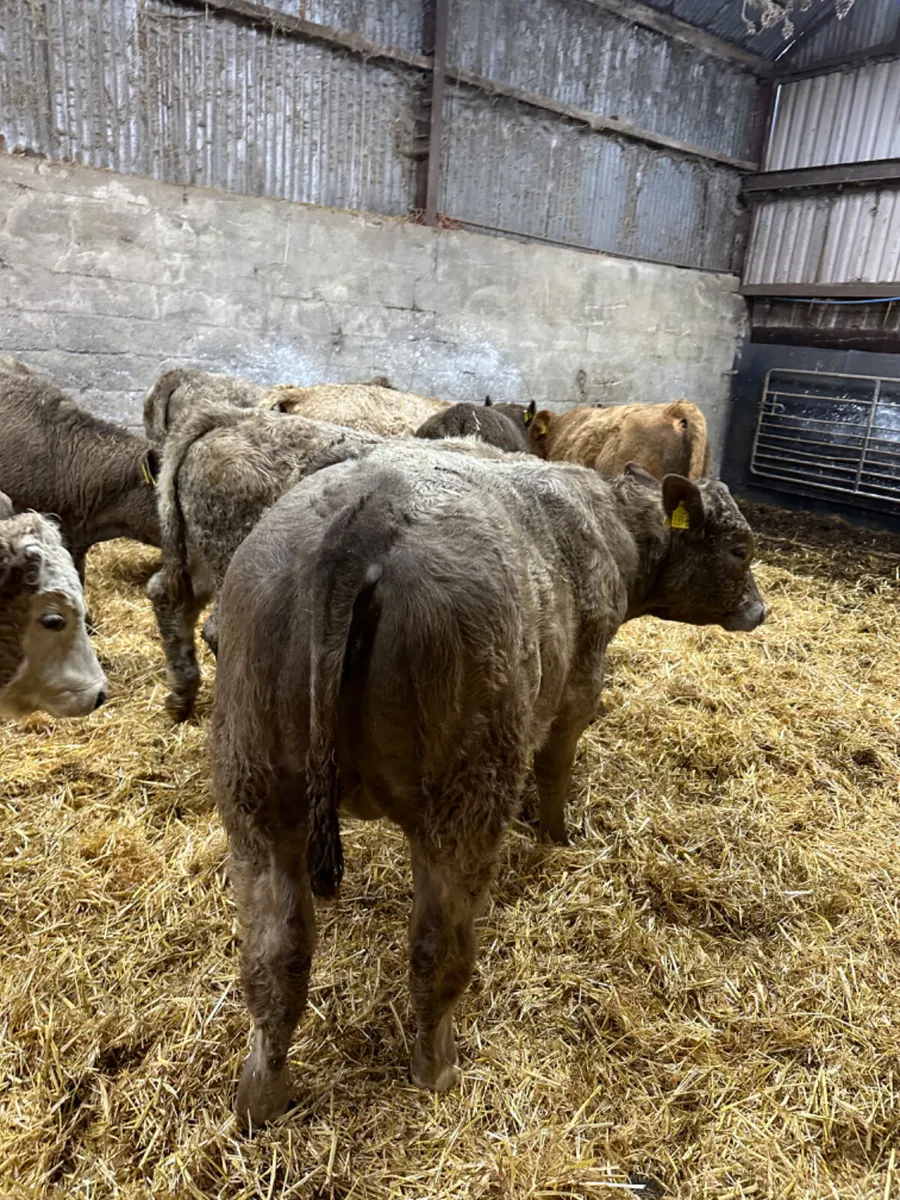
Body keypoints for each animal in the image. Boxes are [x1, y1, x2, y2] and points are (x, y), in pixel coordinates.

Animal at [210, 444, 766, 1126]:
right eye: (739, 549)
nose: (759, 610)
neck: (609, 524)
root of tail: (367, 514)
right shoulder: (580, 684)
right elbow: (556, 766)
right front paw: (558, 835)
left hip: (258, 795)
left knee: (275, 956)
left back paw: (260, 1097)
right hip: (464, 795)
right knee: (436, 947)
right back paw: (437, 1068)